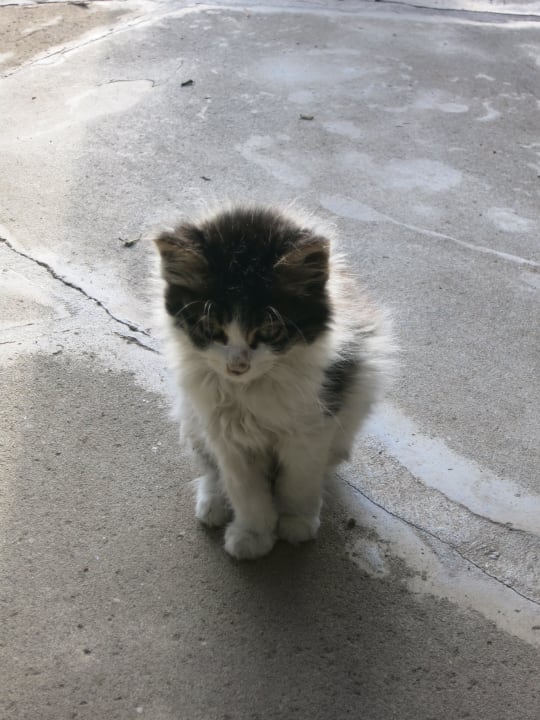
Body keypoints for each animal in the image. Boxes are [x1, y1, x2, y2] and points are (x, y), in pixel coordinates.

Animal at [154, 204, 393, 560]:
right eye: (211, 328)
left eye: (268, 330)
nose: (238, 365)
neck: (251, 391)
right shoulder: (227, 437)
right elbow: (245, 492)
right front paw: (253, 536)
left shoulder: (311, 428)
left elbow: (298, 482)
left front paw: (296, 523)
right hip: (192, 418)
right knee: (210, 467)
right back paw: (212, 503)